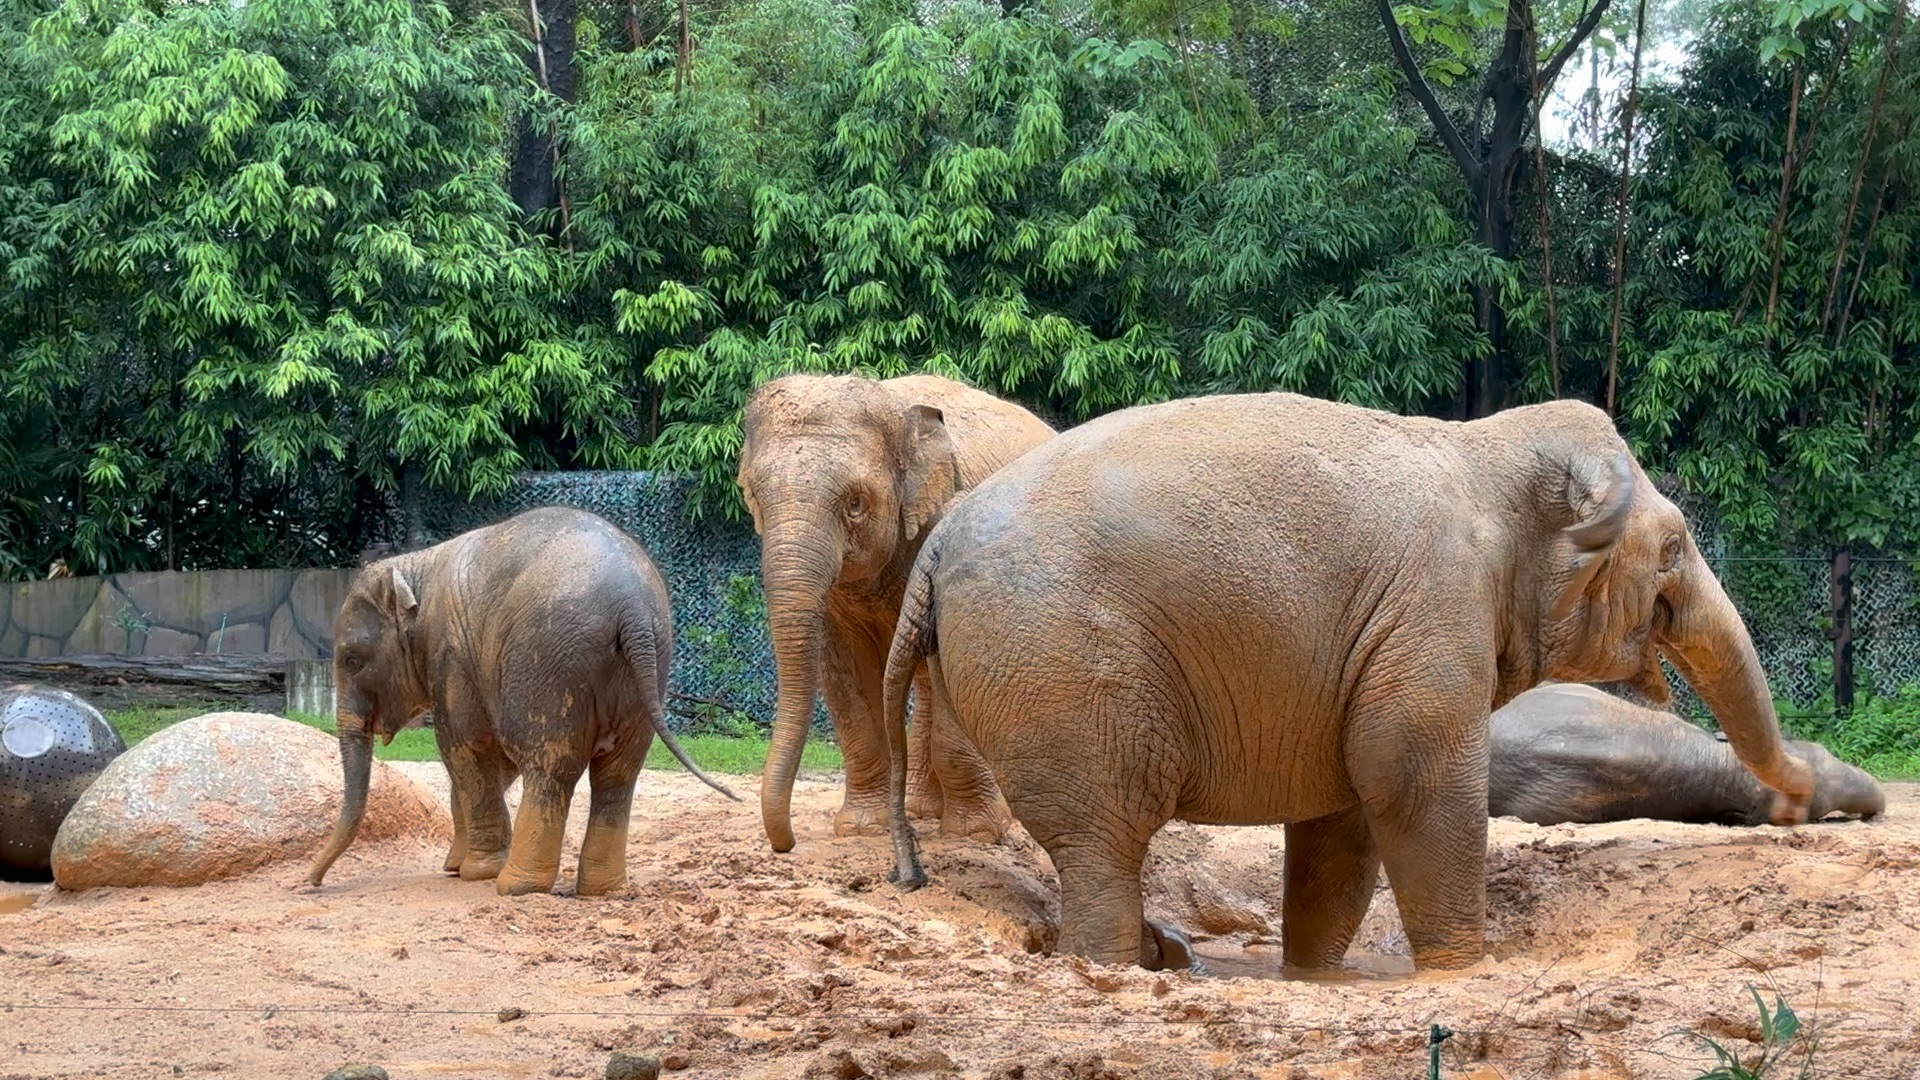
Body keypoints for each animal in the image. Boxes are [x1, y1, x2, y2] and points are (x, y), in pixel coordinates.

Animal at [307, 503, 741, 891]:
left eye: (351, 661)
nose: (312, 882)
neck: (416, 564)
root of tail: (631, 605)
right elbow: (494, 761)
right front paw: (455, 865)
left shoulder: (452, 659)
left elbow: (466, 748)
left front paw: (474, 872)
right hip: (646, 671)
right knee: (617, 774)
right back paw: (602, 889)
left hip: (549, 662)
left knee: (549, 765)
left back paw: (515, 885)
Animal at [737, 368, 1067, 849]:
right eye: (754, 498)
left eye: (855, 504)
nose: (787, 843)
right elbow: (845, 670)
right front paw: (861, 828)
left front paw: (977, 834)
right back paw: (920, 810)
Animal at [883, 390, 1812, 972]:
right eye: (1675, 547)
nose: (1799, 800)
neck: (1484, 444)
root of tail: (938, 540)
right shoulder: (1433, 605)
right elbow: (1410, 779)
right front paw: (1459, 973)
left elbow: (1345, 815)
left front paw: (1316, 976)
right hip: (1062, 668)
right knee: (1101, 840)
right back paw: (1115, 966)